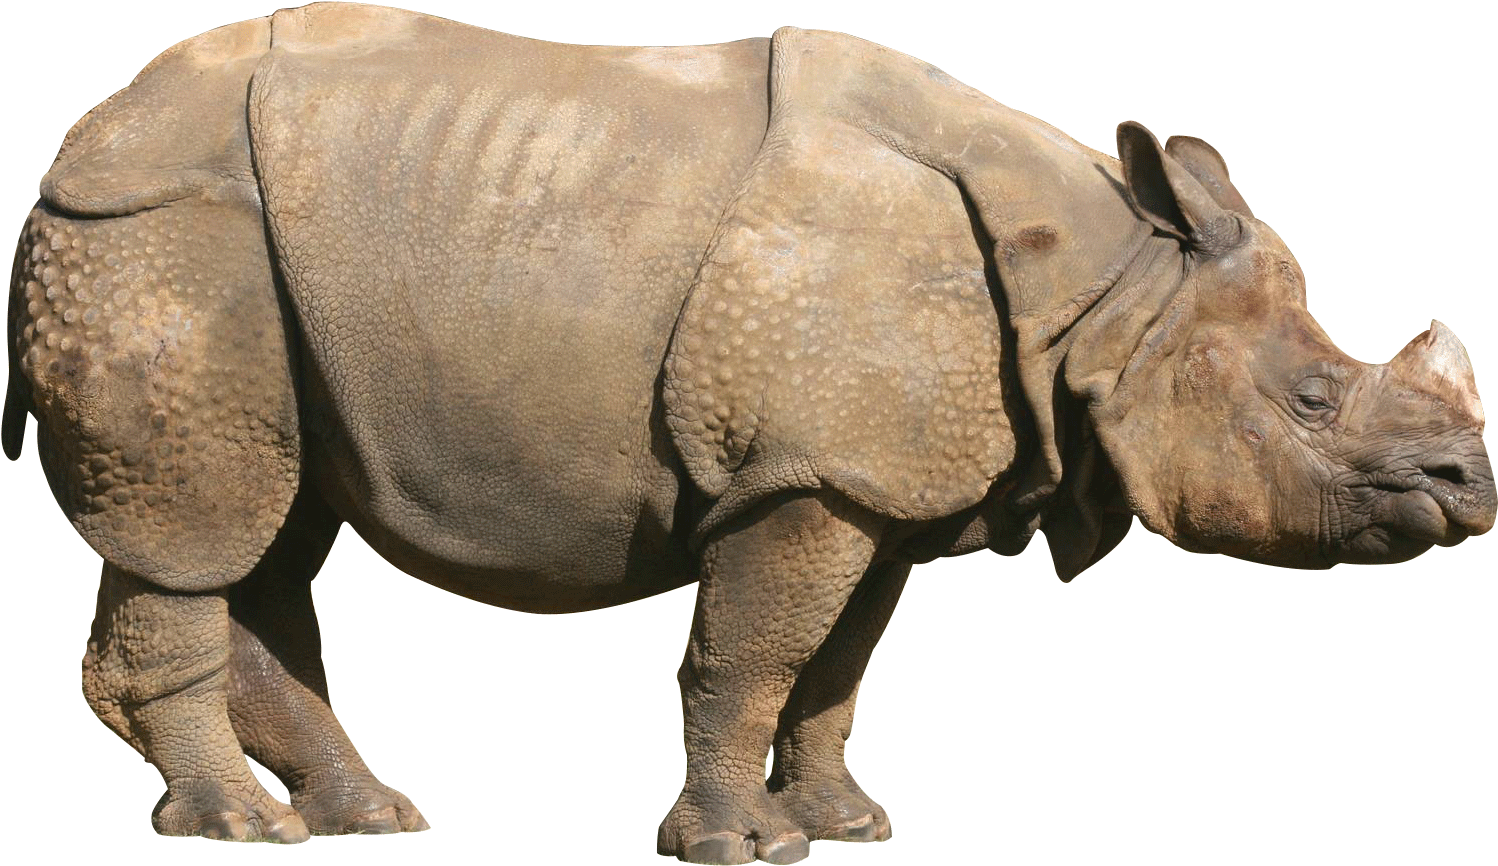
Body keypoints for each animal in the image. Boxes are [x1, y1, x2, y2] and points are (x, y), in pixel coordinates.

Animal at [5, 4, 1493, 862]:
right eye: (1310, 404)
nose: (1470, 487)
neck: (1112, 285)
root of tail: (79, 138)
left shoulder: (878, 482)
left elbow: (835, 669)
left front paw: (842, 824)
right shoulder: (805, 473)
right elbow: (749, 655)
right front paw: (734, 847)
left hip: (250, 256)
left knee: (267, 527)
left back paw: (364, 814)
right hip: (161, 230)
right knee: (201, 523)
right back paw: (243, 829)